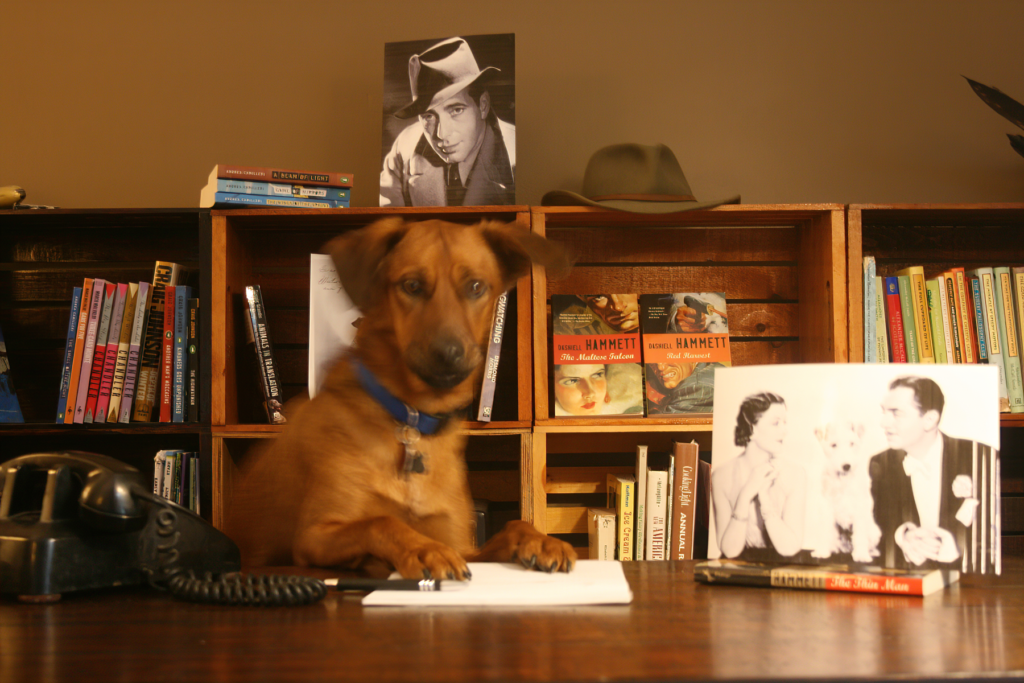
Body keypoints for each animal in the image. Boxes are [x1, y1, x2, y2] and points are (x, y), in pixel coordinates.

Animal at [225, 216, 577, 581]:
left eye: (476, 286)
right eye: (412, 285)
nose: (449, 354)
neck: (413, 417)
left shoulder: (462, 545)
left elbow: (513, 524)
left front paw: (539, 540)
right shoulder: (314, 536)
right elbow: (381, 521)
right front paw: (423, 549)